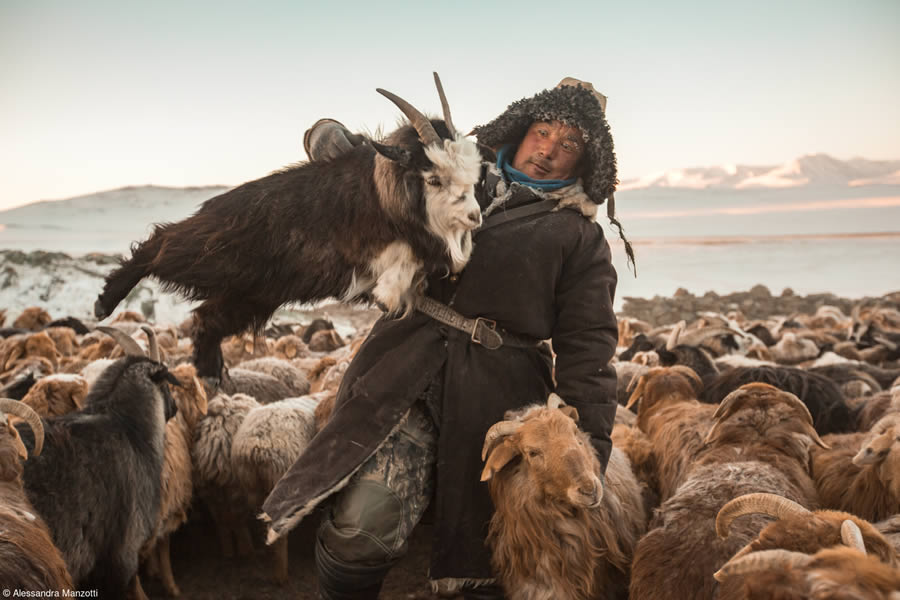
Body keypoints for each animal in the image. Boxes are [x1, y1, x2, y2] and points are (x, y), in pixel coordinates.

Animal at [96, 72, 486, 380]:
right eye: (433, 178)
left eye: (474, 174)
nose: (475, 216)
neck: (383, 191)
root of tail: (217, 205)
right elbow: (400, 259)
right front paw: (389, 291)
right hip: (213, 255)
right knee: (160, 244)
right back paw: (105, 303)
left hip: (252, 293)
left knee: (207, 320)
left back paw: (210, 374)